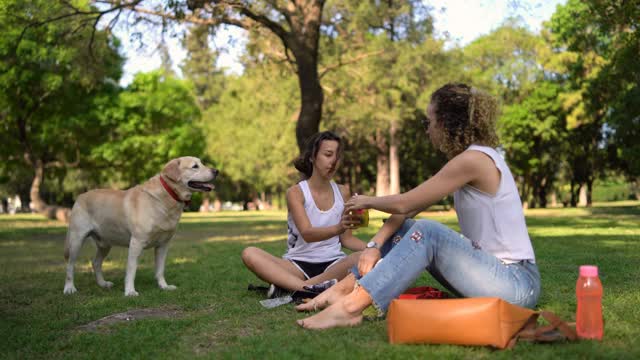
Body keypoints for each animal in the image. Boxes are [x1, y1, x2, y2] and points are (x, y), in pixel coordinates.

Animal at [63, 157, 218, 296]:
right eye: (195, 166)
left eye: (202, 162)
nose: (216, 171)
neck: (165, 197)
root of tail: (80, 196)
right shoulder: (136, 243)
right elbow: (131, 270)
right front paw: (130, 291)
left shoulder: (163, 245)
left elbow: (160, 269)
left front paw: (164, 286)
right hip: (76, 240)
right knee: (70, 266)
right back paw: (69, 288)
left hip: (105, 243)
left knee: (95, 263)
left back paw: (103, 284)